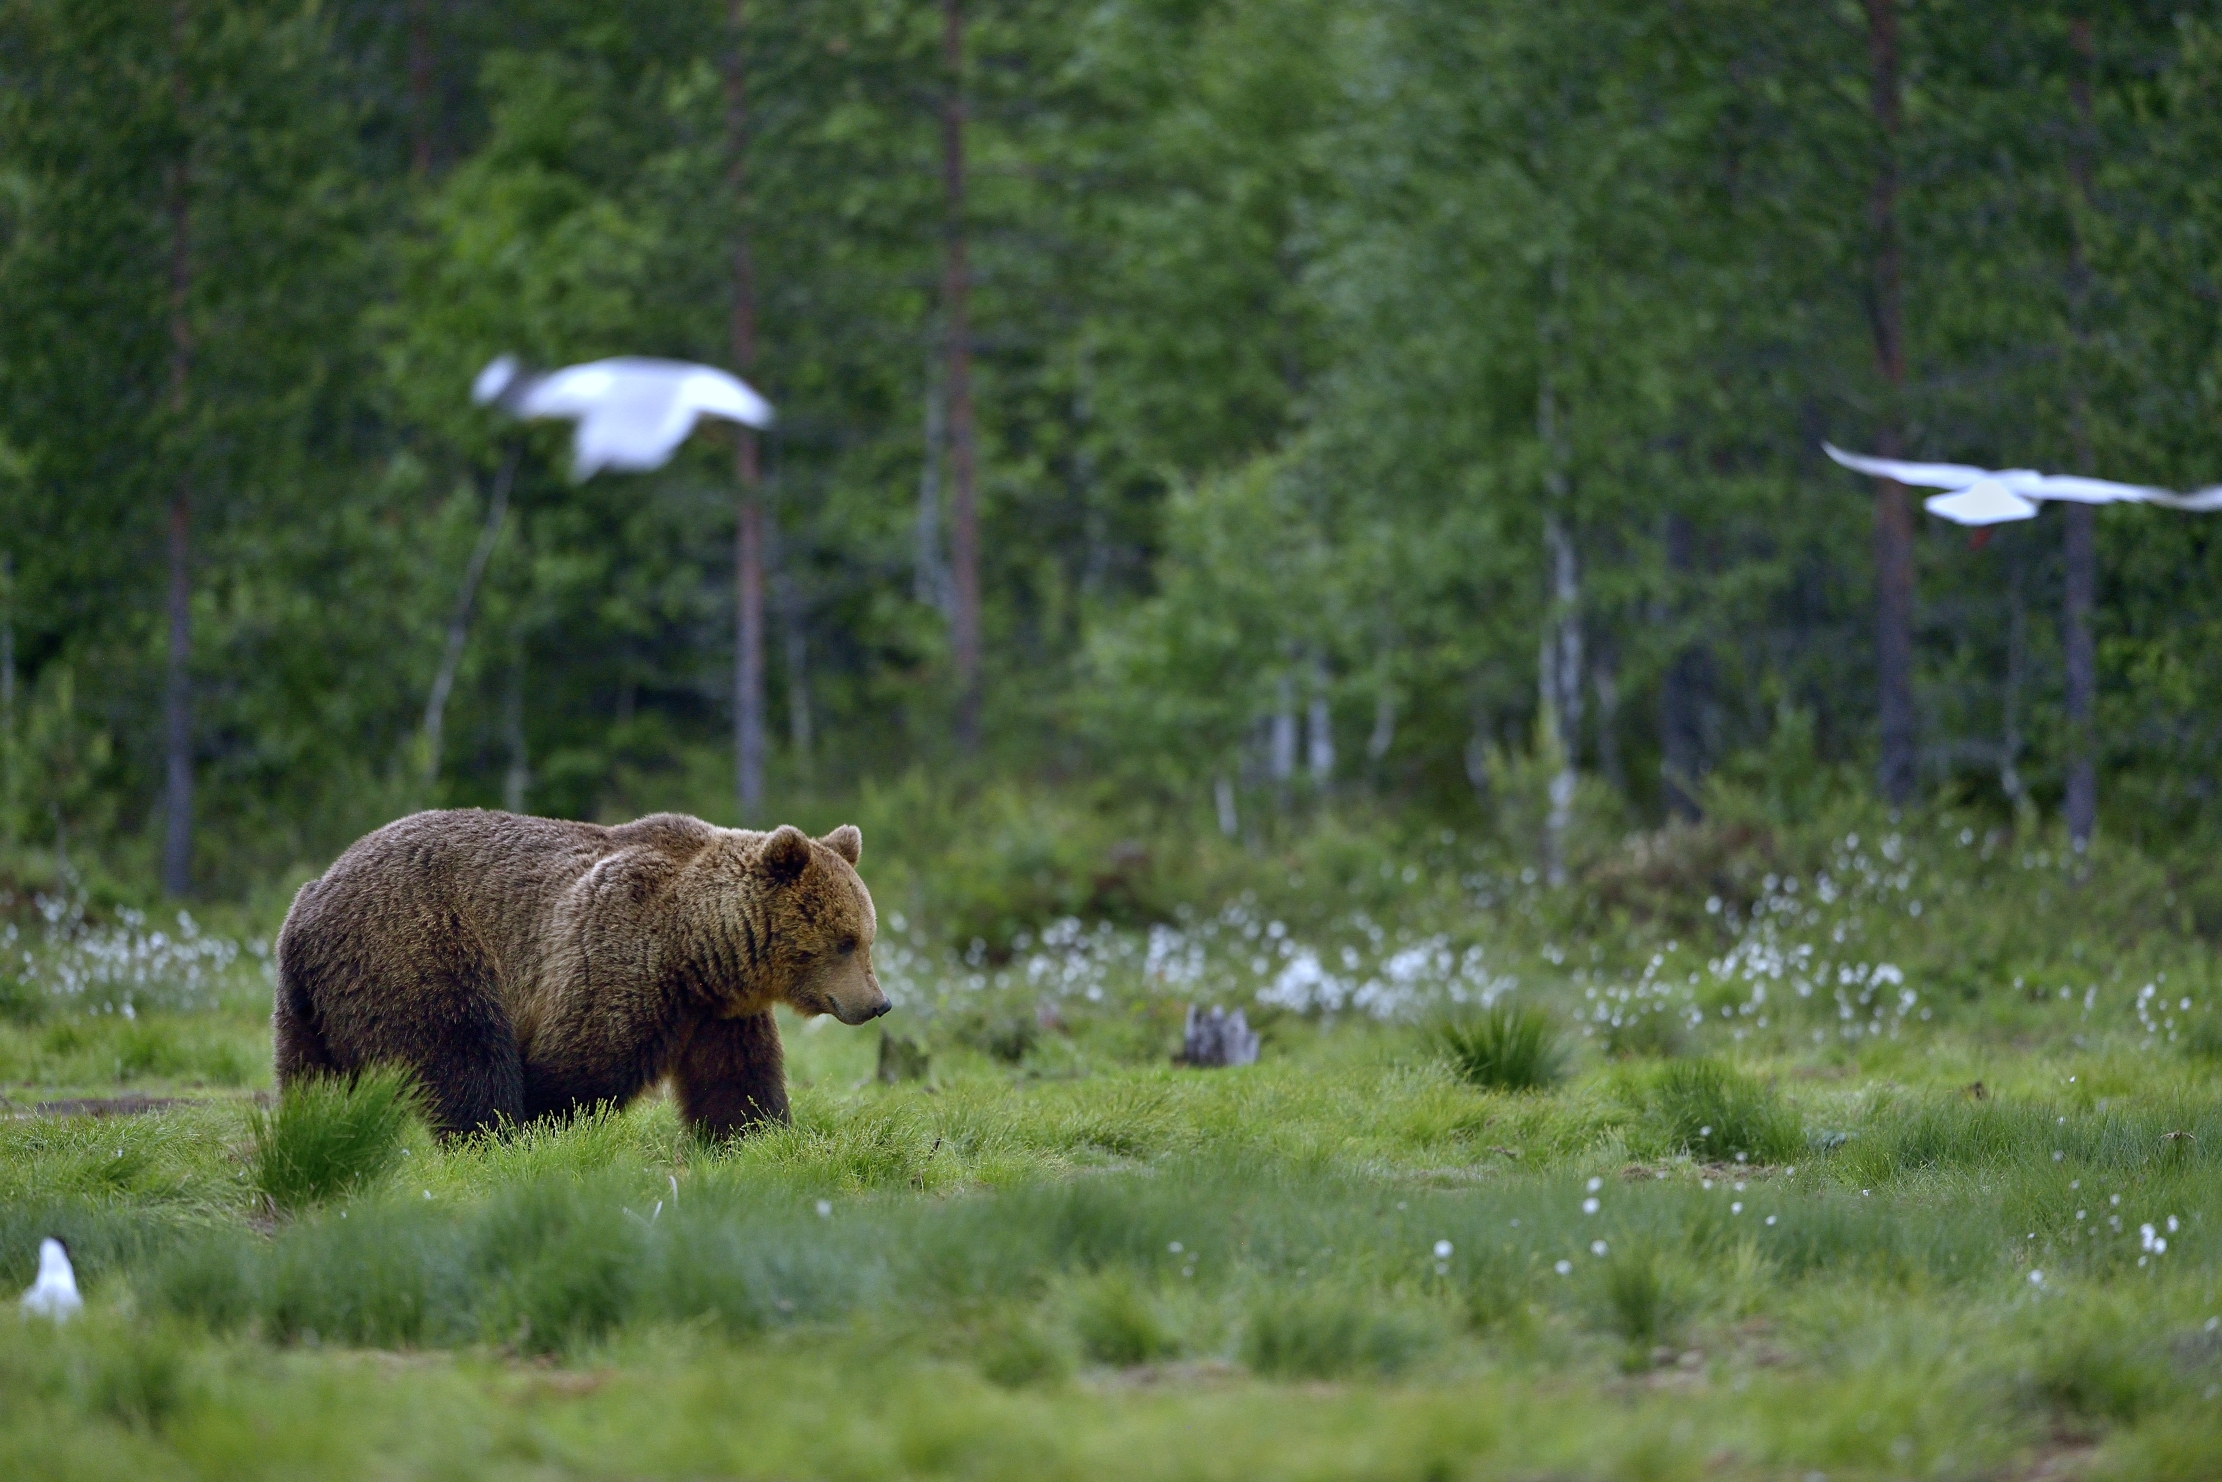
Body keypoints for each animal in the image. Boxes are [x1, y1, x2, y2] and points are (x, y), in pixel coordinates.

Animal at [271, 808, 887, 1139]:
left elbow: (737, 1081)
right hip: (418, 947)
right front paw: (540, 1121)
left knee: (310, 1076)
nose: (878, 1003)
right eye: (845, 941)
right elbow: (579, 1062)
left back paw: (313, 1128)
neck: (695, 948)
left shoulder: (719, 1011)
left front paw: (752, 1135)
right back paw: (490, 1134)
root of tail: (308, 905)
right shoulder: (617, 953)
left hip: (312, 999)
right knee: (461, 1050)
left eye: (868, 937)